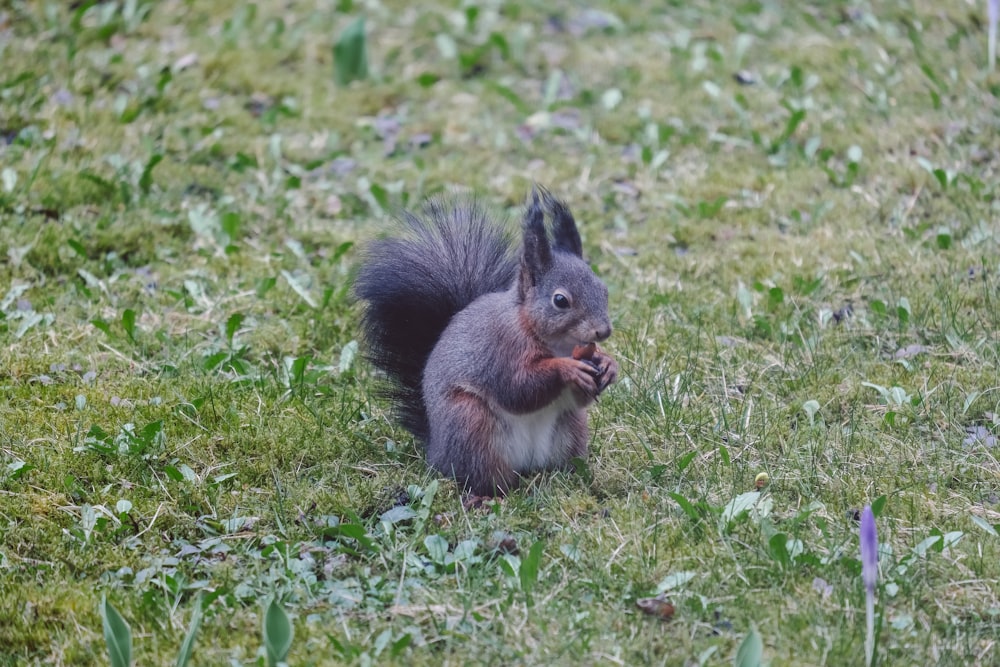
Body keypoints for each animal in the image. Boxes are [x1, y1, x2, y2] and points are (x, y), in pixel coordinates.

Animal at [352, 188, 616, 496]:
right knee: (484, 477)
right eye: (560, 300)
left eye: (603, 289)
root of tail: (436, 451)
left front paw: (609, 364)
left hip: (572, 428)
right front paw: (567, 368)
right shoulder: (500, 348)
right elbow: (517, 389)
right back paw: (486, 496)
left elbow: (580, 397)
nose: (603, 331)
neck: (557, 343)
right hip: (471, 426)